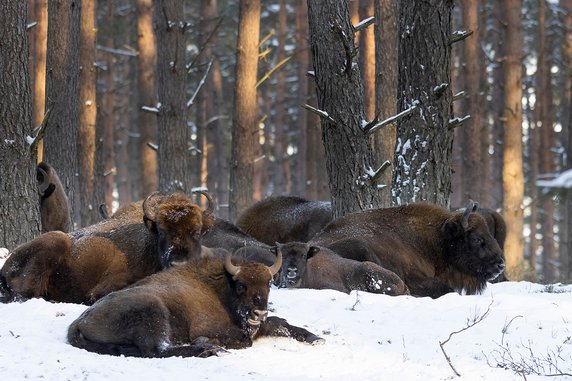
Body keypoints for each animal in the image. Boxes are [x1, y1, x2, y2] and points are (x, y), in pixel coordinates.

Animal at [0, 191, 214, 304]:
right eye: (161, 232)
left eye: (196, 231)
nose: (178, 262)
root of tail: (6, 265)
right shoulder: (105, 287)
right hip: (54, 242)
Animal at [67, 249, 324, 356]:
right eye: (241, 285)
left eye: (269, 283)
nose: (258, 313)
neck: (223, 288)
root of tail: (79, 321)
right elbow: (244, 340)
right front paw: (209, 343)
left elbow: (281, 323)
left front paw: (315, 337)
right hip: (153, 311)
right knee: (157, 350)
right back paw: (209, 350)